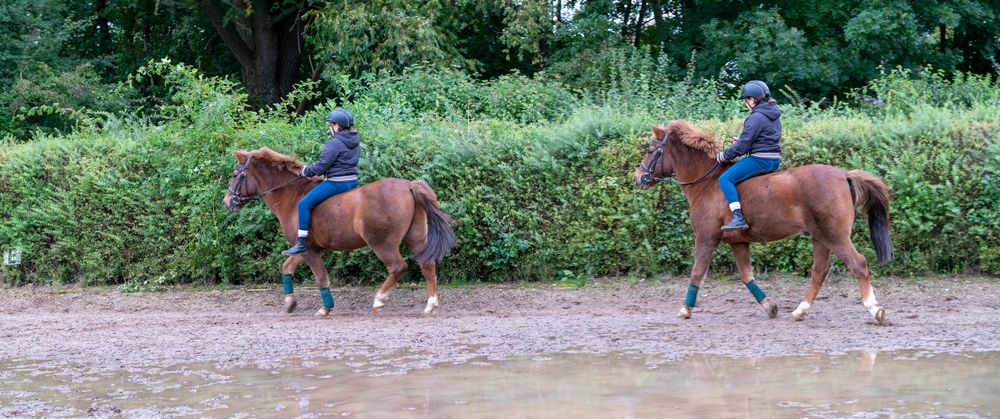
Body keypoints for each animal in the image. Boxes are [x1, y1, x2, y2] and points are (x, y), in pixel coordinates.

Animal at [223, 148, 458, 316]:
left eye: (235, 174)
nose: (226, 202)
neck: (293, 195)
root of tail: (409, 185)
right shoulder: (304, 248)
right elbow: (286, 267)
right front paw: (290, 303)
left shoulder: (308, 250)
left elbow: (321, 278)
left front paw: (325, 308)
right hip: (416, 238)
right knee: (427, 266)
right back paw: (430, 305)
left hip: (382, 243)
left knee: (398, 267)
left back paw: (379, 300)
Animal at [632, 121, 892, 324]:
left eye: (650, 150)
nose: (638, 178)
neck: (707, 183)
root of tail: (844, 174)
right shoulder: (738, 242)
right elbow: (747, 276)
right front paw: (770, 307)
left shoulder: (706, 238)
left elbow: (697, 273)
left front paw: (685, 310)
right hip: (821, 237)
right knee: (819, 271)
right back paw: (799, 312)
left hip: (835, 236)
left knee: (858, 264)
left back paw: (875, 310)